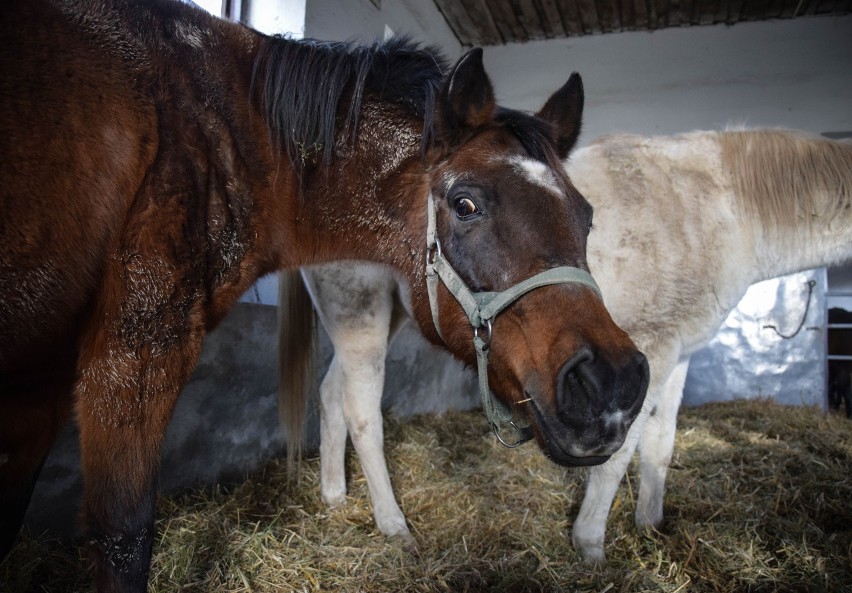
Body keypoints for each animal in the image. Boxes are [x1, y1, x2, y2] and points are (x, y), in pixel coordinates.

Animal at [0, 2, 648, 588]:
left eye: (586, 217)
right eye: (465, 204)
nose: (612, 384)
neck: (225, 131)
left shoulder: (41, 377)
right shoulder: (133, 352)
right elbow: (124, 536)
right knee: (358, 405)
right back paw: (391, 525)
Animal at [280, 128, 852, 556]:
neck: (720, 204)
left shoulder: (680, 351)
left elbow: (660, 445)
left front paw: (651, 527)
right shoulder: (648, 352)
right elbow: (620, 453)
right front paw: (590, 545)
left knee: (332, 394)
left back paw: (334, 497)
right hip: (360, 313)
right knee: (361, 411)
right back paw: (393, 526)